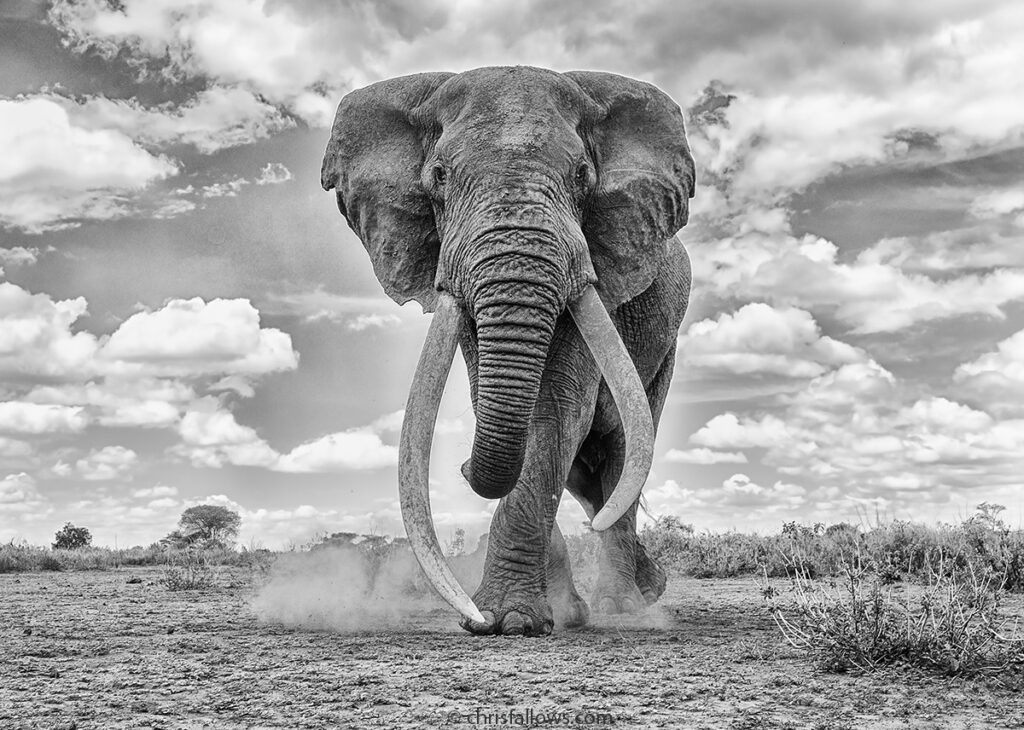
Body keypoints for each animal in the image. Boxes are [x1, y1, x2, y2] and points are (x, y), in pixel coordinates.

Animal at [321, 66, 694, 636]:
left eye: (583, 175)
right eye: (438, 176)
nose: (462, 467)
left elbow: (553, 410)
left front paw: (512, 622)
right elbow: (507, 408)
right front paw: (545, 615)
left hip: (663, 349)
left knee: (621, 455)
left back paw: (626, 607)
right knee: (590, 479)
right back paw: (638, 592)